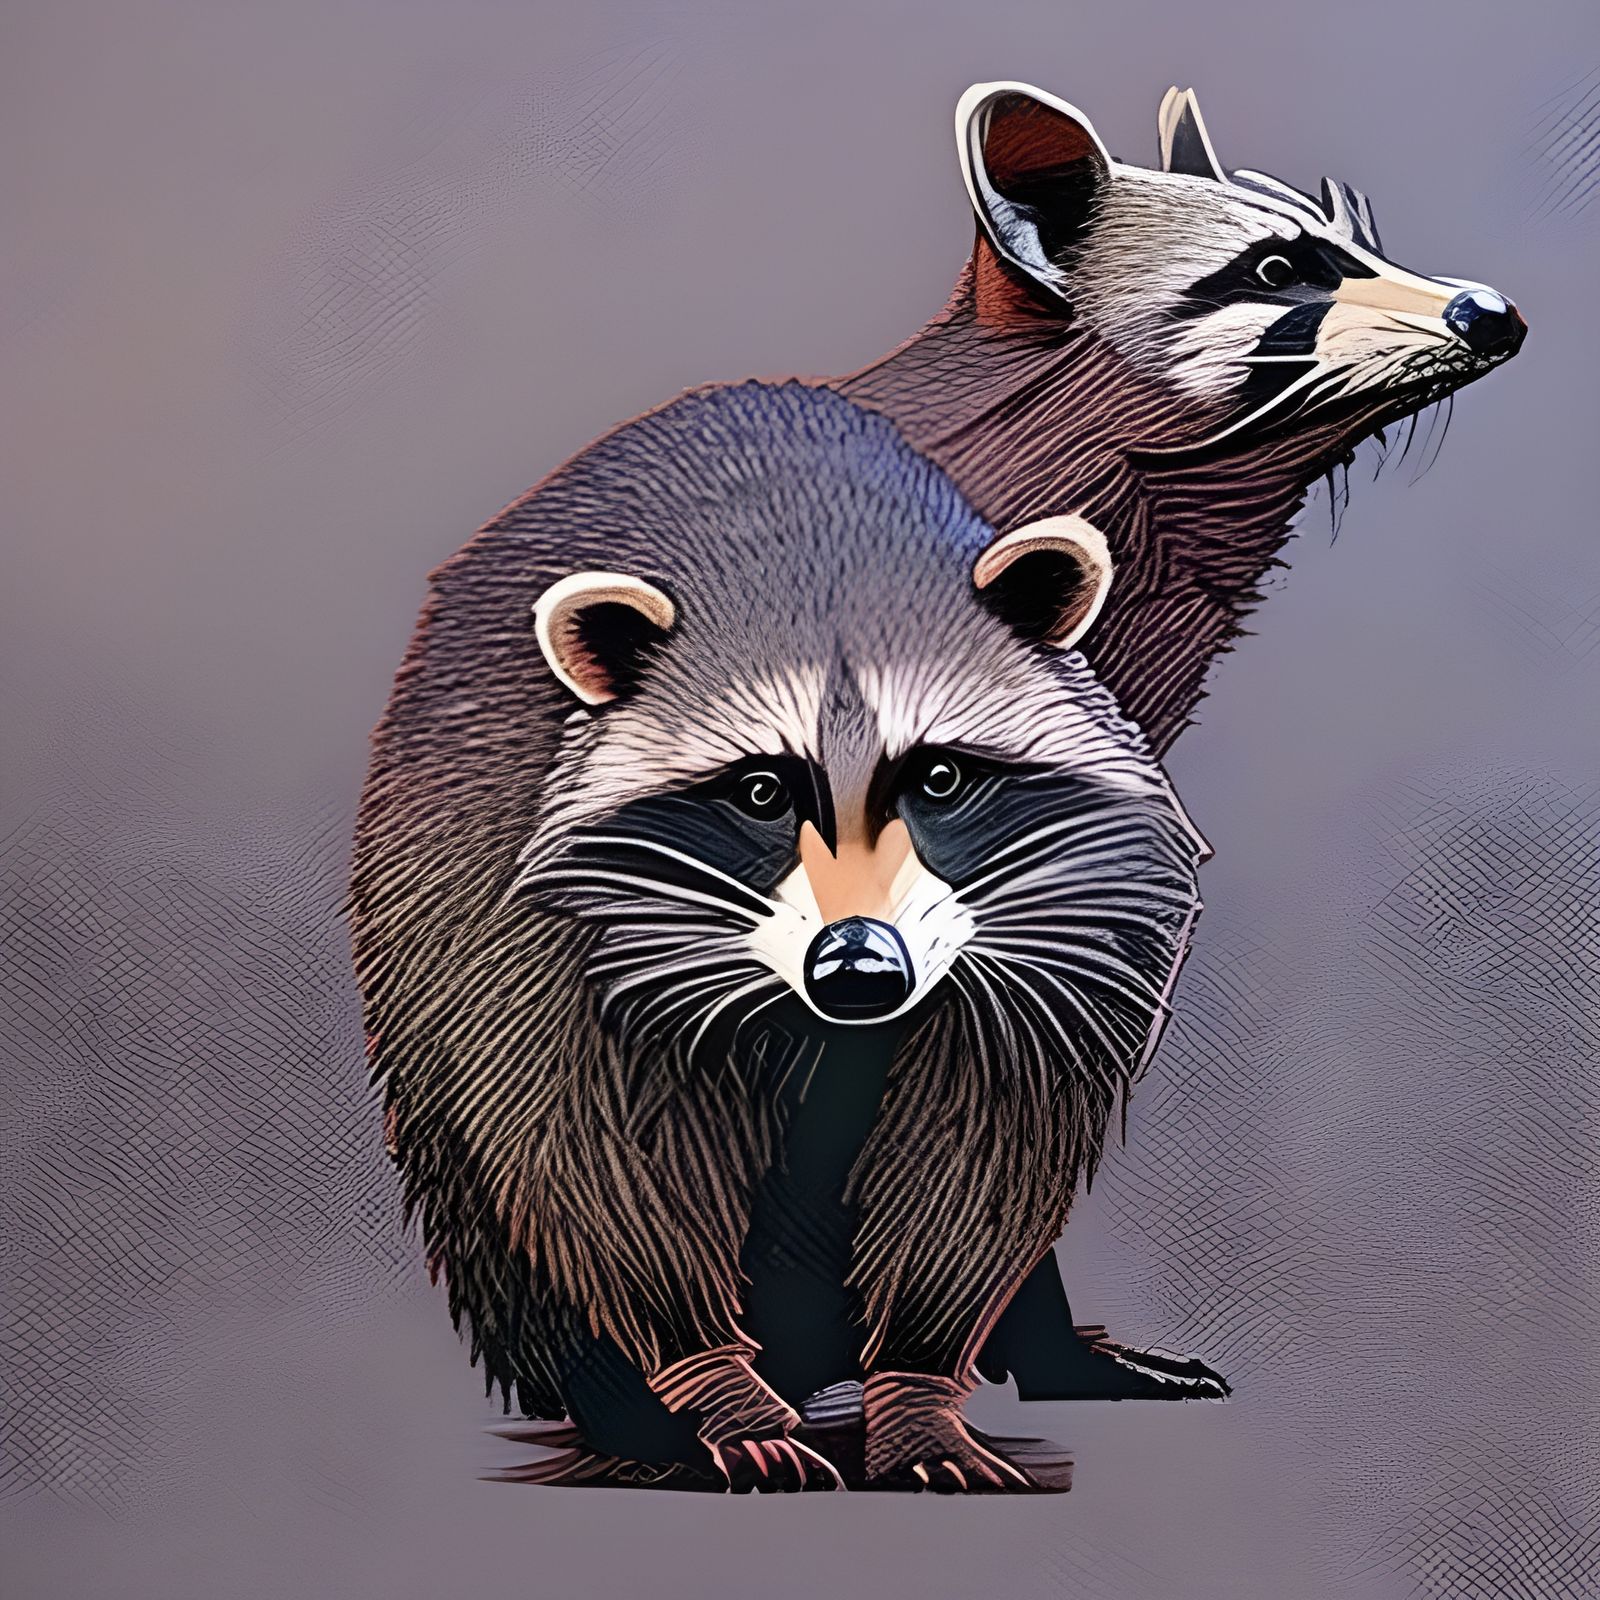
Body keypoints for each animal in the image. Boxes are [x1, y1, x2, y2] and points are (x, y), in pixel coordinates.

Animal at [352, 381, 1206, 1491]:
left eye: (938, 777)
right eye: (761, 791)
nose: (858, 966)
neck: (813, 557)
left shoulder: (1073, 911)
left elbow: (986, 1144)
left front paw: (918, 1386)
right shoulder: (524, 903)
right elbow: (589, 1153)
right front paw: (710, 1379)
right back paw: (621, 1403)